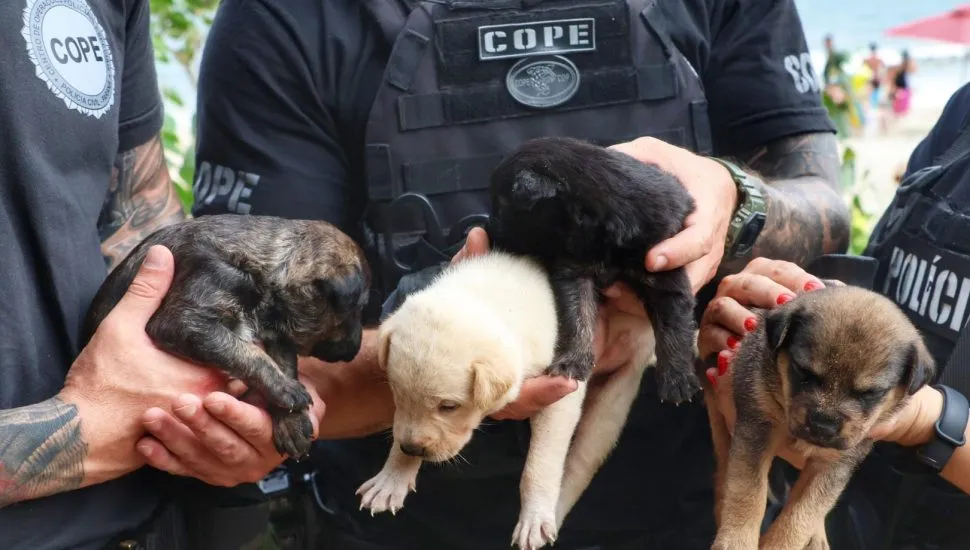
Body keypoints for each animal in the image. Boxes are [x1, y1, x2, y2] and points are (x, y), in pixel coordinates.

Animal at [82, 213, 370, 460]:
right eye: (357, 309)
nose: (355, 349)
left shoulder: (279, 336)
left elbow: (284, 364)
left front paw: (291, 421)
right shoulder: (186, 319)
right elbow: (250, 354)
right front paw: (286, 389)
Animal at [356, 252, 656, 550]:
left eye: (449, 407)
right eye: (397, 393)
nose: (412, 449)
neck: (486, 297)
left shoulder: (562, 392)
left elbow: (540, 464)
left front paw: (534, 518)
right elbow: (401, 427)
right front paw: (392, 479)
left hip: (610, 406)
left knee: (580, 463)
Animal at [488, 137, 700, 406]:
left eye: (503, 207)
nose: (486, 232)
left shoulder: (663, 271)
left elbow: (673, 327)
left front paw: (677, 379)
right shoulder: (575, 273)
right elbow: (577, 317)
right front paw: (572, 360)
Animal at [708, 284, 932, 550]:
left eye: (871, 393)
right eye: (802, 371)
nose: (822, 426)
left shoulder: (834, 463)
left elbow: (802, 513)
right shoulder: (756, 427)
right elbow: (748, 492)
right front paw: (736, 541)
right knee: (724, 461)